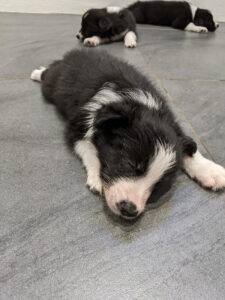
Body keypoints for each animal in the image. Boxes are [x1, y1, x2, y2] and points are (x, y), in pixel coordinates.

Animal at [30, 48, 225, 218]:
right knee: (49, 73)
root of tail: (74, 53)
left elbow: (189, 148)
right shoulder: (77, 125)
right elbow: (89, 148)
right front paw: (97, 177)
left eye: (158, 186)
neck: (141, 104)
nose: (129, 210)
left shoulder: (171, 124)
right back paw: (37, 72)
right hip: (52, 85)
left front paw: (211, 171)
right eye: (130, 164)